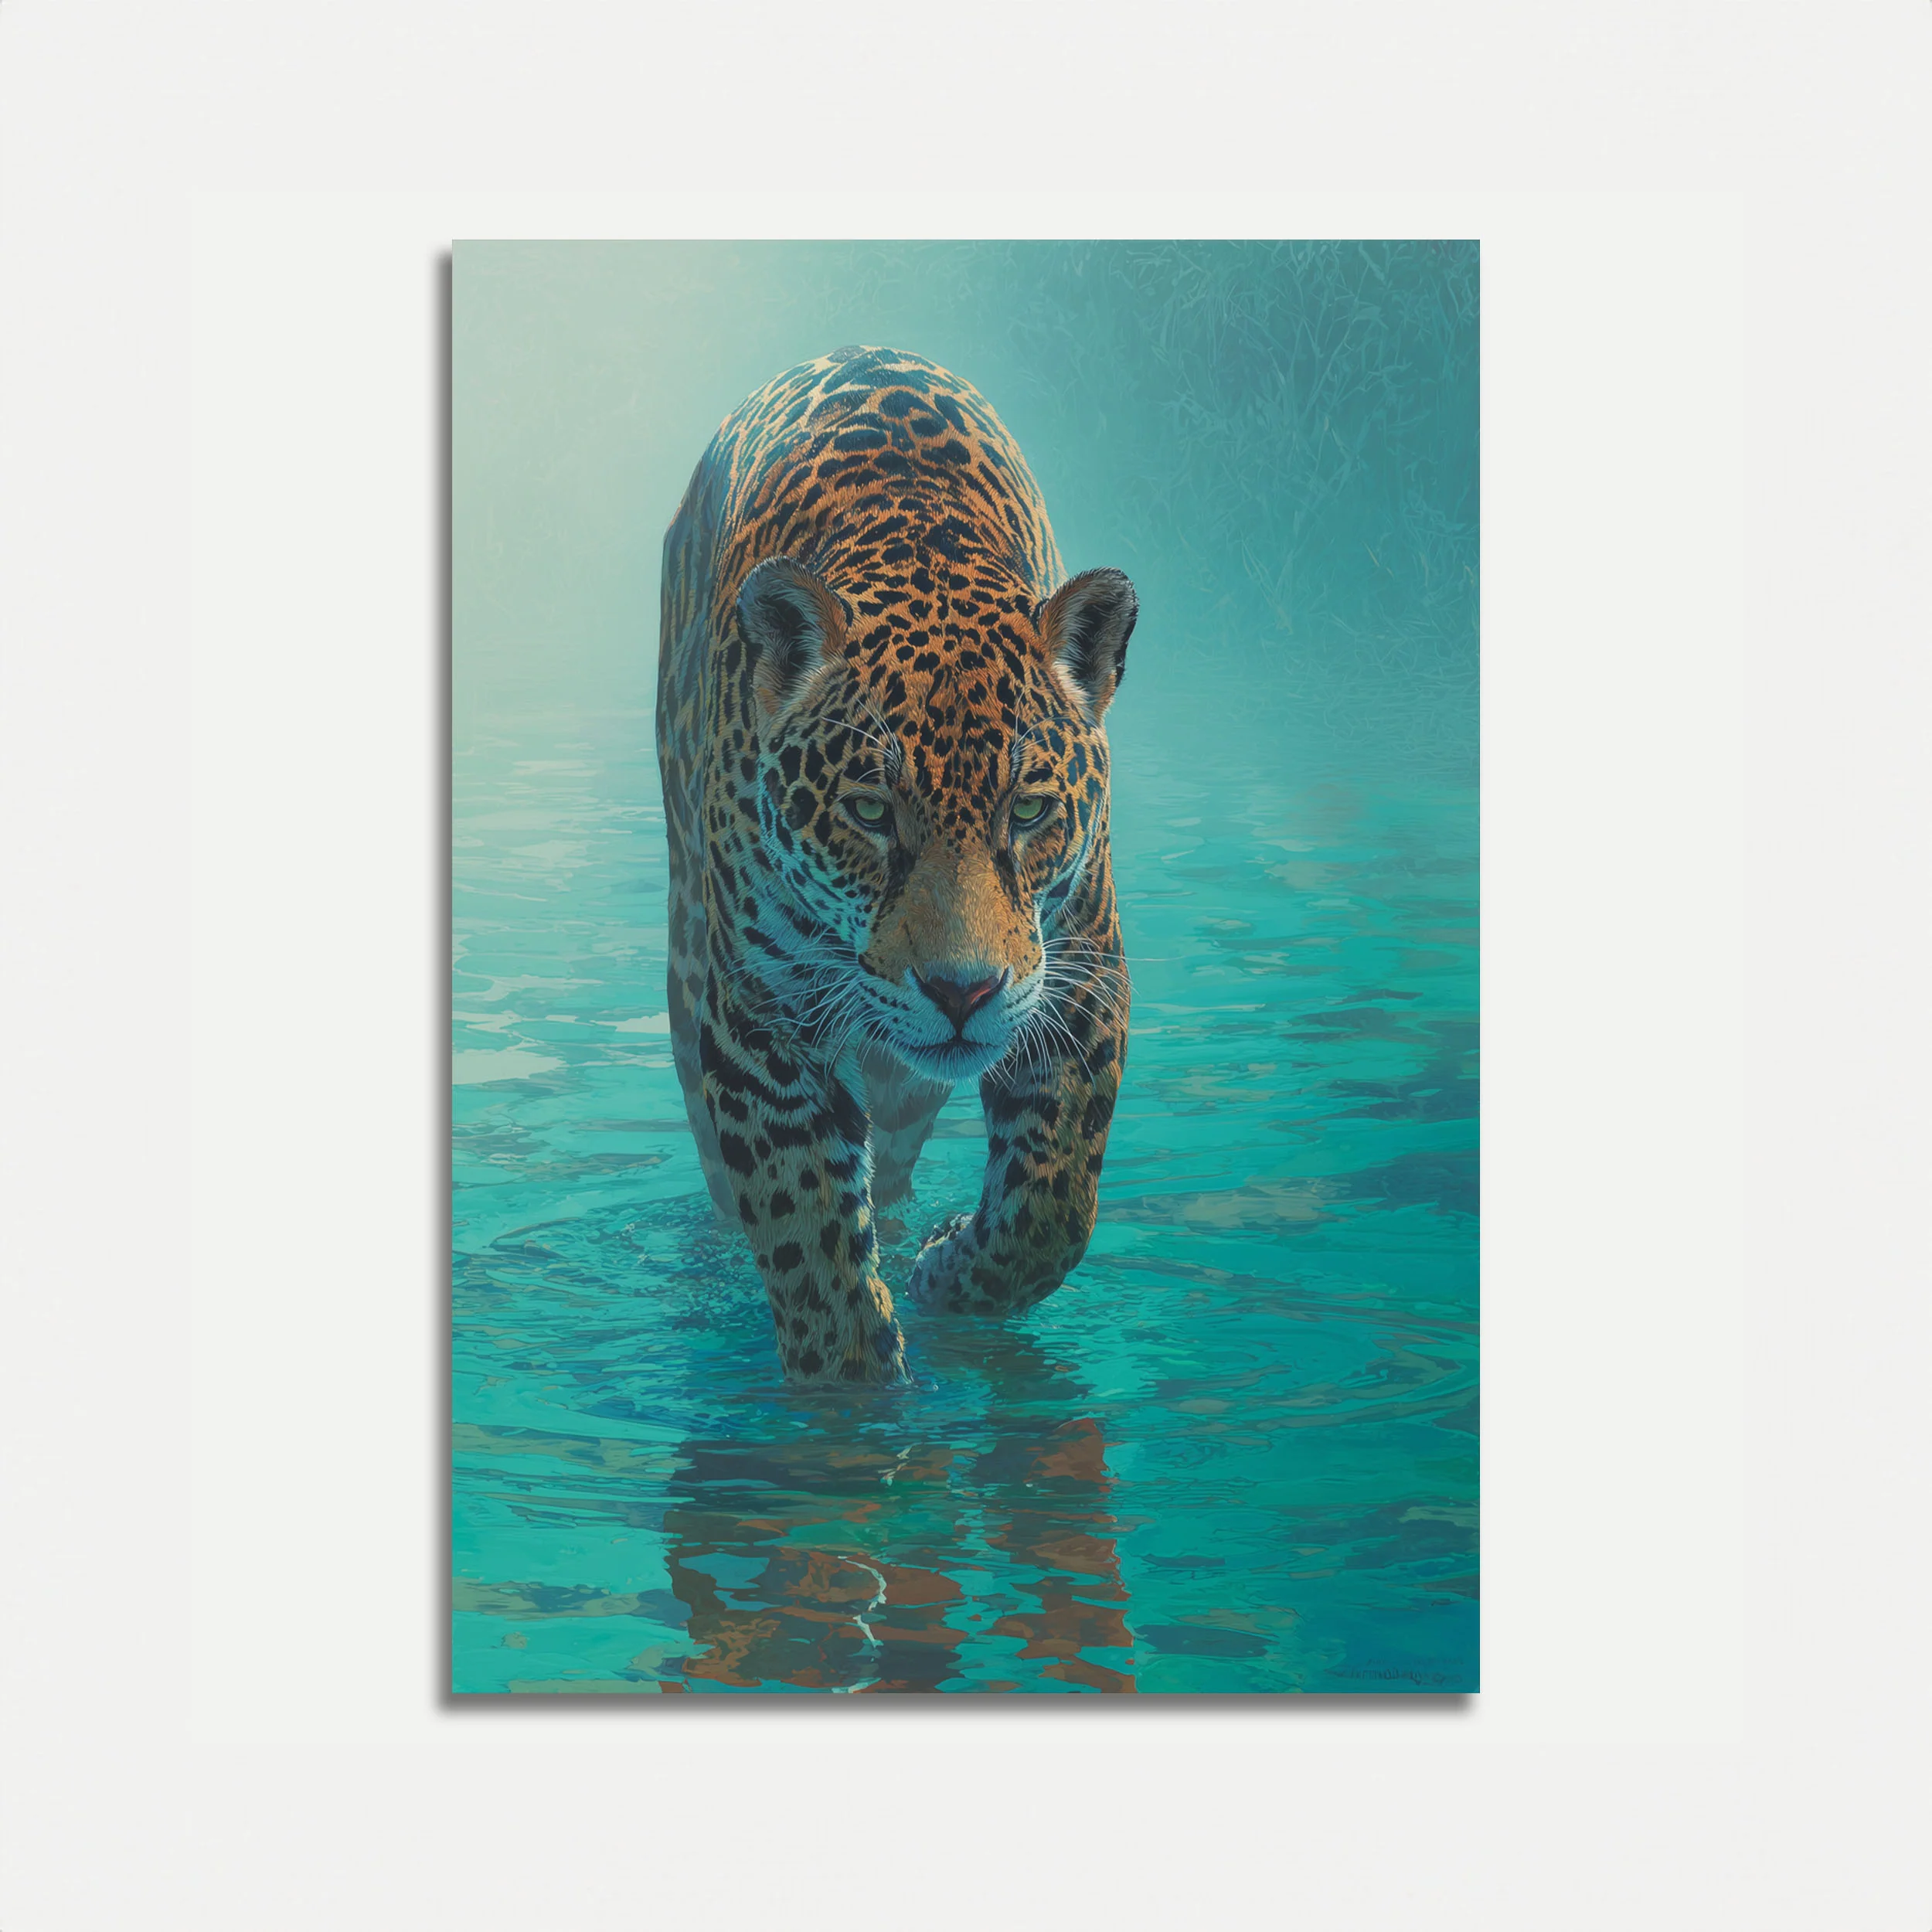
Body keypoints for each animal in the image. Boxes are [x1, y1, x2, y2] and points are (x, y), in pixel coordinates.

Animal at [655, 346, 1136, 1386]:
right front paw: (850, 1394)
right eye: (871, 813)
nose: (961, 992)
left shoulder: (1079, 977)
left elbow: (1055, 1205)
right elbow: (807, 1239)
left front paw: (948, 1272)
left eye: (1027, 810)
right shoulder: (756, 1021)